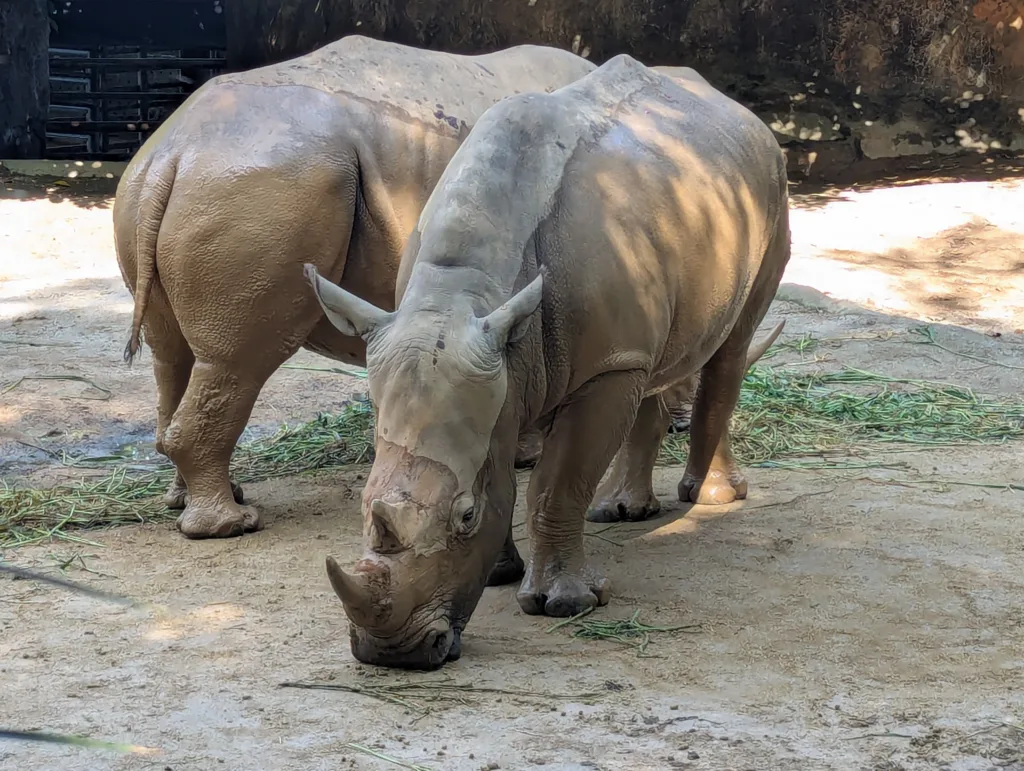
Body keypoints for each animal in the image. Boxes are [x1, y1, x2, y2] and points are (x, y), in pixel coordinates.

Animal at [112, 35, 596, 540]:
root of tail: (171, 154)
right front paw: (526, 453)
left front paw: (521, 452)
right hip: (266, 189)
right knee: (236, 362)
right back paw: (231, 524)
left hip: (177, 188)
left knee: (173, 356)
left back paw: (192, 500)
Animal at [305, 54, 791, 668]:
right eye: (365, 508)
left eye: (465, 514)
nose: (394, 654)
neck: (463, 293)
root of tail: (734, 107)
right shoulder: (498, 365)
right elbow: (498, 470)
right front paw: (499, 575)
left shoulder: (602, 366)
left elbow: (556, 481)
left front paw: (564, 605)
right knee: (662, 361)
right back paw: (621, 510)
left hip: (772, 186)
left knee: (731, 343)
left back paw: (714, 499)